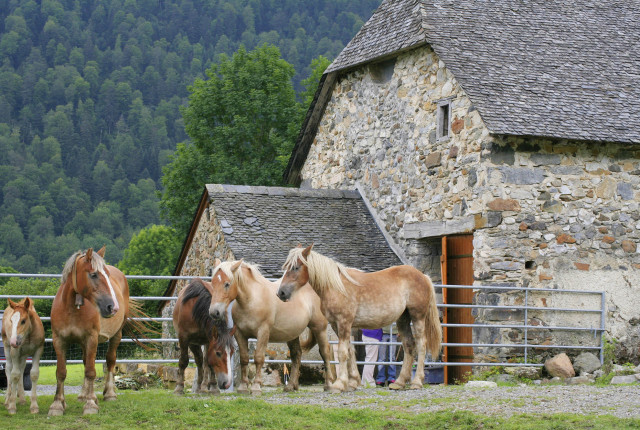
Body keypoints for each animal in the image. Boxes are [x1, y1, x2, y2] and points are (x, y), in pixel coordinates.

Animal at [48, 247, 150, 416]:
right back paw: (83, 395)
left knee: (110, 361)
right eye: (93, 274)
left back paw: (109, 394)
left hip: (116, 335)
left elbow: (91, 371)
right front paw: (57, 405)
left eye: (107, 275)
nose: (113, 307)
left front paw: (90, 404)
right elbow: (61, 372)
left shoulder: (92, 338)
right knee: (86, 362)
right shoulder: (59, 340)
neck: (71, 309)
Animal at [208, 259, 334, 395]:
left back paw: (328, 385)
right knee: (296, 355)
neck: (251, 300)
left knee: (325, 352)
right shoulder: (240, 334)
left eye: (227, 284)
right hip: (292, 334)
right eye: (212, 283)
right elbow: (244, 359)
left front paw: (256, 387)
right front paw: (243, 387)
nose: (214, 312)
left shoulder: (263, 332)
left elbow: (258, 358)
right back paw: (291, 386)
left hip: (319, 328)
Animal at [277, 245, 442, 393]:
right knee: (409, 345)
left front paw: (339, 384)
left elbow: (343, 352)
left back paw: (417, 382)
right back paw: (400, 383)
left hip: (418, 317)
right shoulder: (337, 325)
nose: (281, 293)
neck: (336, 287)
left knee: (421, 345)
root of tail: (424, 276)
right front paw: (352, 382)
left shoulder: (344, 322)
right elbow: (350, 351)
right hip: (403, 319)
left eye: (295, 267)